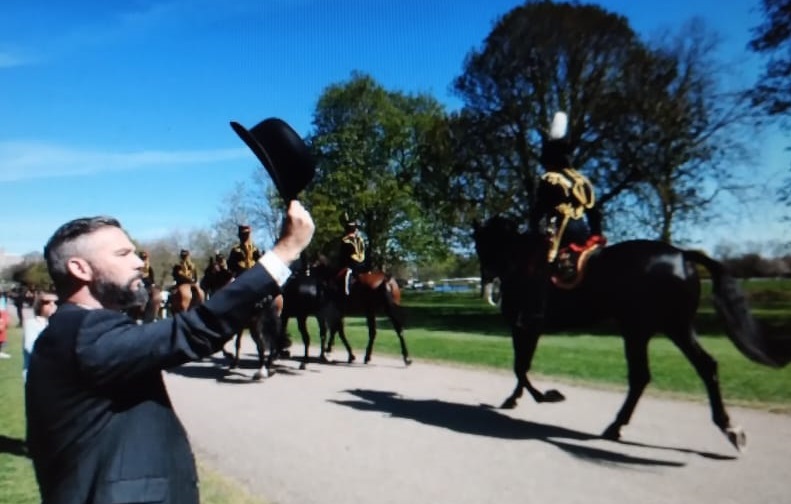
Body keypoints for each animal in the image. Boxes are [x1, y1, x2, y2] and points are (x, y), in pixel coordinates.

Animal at [474, 215, 788, 450]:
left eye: (481, 243)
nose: (487, 279)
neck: (519, 261)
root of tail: (682, 255)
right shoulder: (527, 329)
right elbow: (521, 367)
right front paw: (516, 398)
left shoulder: (525, 326)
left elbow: (520, 367)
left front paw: (546, 396)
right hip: (674, 328)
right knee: (703, 366)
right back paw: (728, 427)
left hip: (639, 330)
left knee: (641, 376)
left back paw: (616, 426)